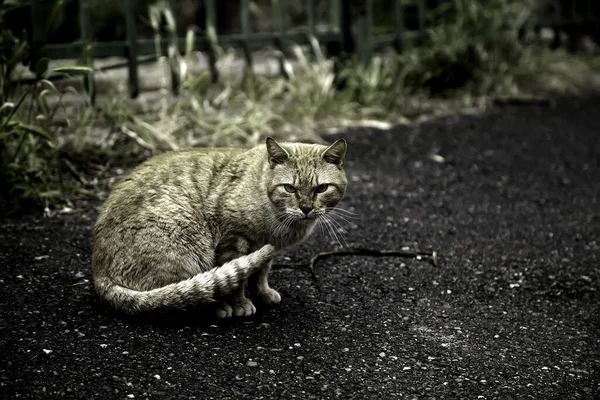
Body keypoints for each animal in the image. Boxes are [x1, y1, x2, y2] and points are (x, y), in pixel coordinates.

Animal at [91, 138, 350, 318]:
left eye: (321, 188)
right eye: (289, 188)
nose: (306, 208)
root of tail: (100, 275)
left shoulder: (265, 247)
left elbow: (260, 272)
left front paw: (264, 293)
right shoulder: (234, 239)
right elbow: (237, 282)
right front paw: (240, 303)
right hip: (186, 248)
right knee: (183, 296)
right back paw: (217, 307)